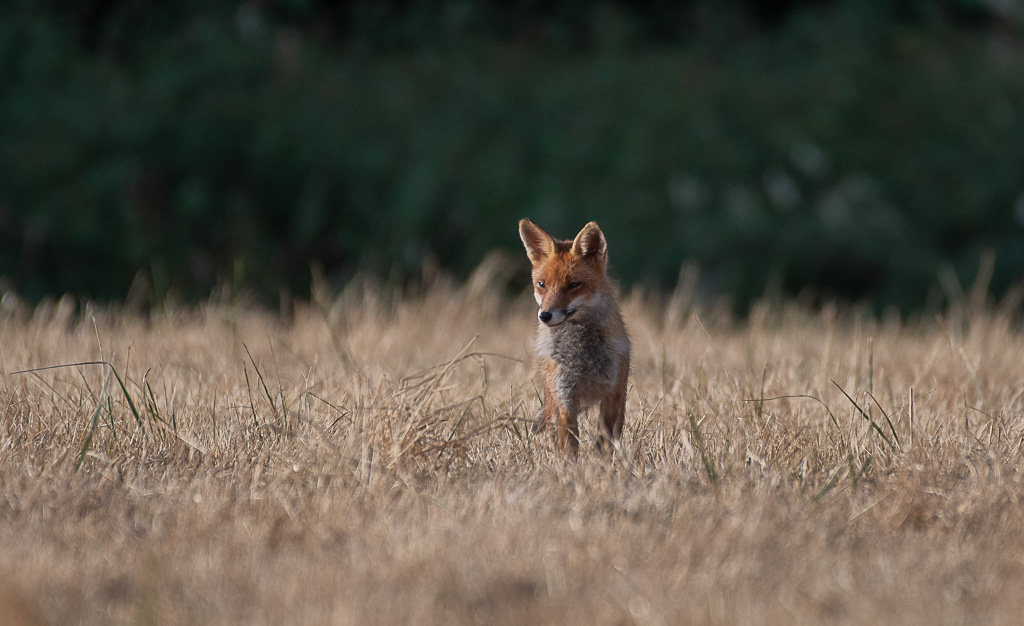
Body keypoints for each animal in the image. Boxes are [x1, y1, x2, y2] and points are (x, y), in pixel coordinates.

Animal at [519, 218, 631, 455]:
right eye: (542, 284)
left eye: (573, 285)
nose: (545, 315)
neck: (583, 359)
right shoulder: (566, 400)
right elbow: (569, 447)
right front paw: (569, 465)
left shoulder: (612, 396)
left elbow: (604, 442)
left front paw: (600, 464)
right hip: (552, 401)